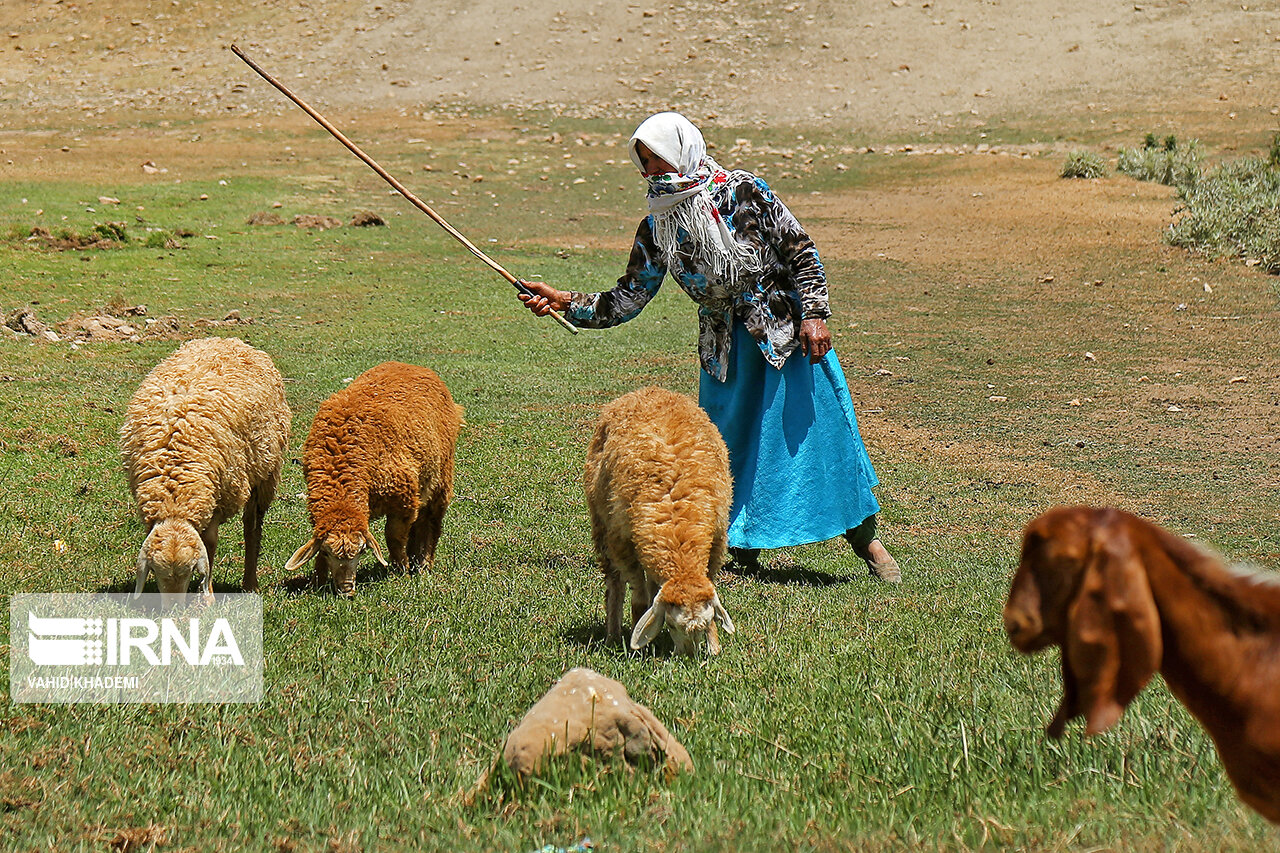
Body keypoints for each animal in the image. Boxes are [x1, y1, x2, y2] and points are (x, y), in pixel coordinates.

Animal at [120, 335, 290, 607]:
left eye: (190, 571)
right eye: (155, 572)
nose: (173, 609)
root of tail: (228, 339)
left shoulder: (219, 496)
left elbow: (210, 544)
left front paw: (207, 595)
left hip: (265, 472)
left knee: (252, 526)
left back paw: (250, 583)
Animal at [282, 361, 463, 594]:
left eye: (362, 551)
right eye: (327, 553)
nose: (347, 590)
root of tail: (414, 366)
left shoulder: (403, 498)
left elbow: (393, 537)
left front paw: (400, 570)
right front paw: (317, 581)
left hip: (442, 474)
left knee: (432, 520)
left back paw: (423, 563)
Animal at [586, 381, 737, 653]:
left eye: (705, 623)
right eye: (672, 625)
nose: (688, 656)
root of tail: (648, 390)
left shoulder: (718, 539)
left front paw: (713, 646)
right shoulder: (622, 542)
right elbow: (638, 598)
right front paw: (639, 645)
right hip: (602, 528)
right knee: (614, 585)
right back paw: (613, 635)